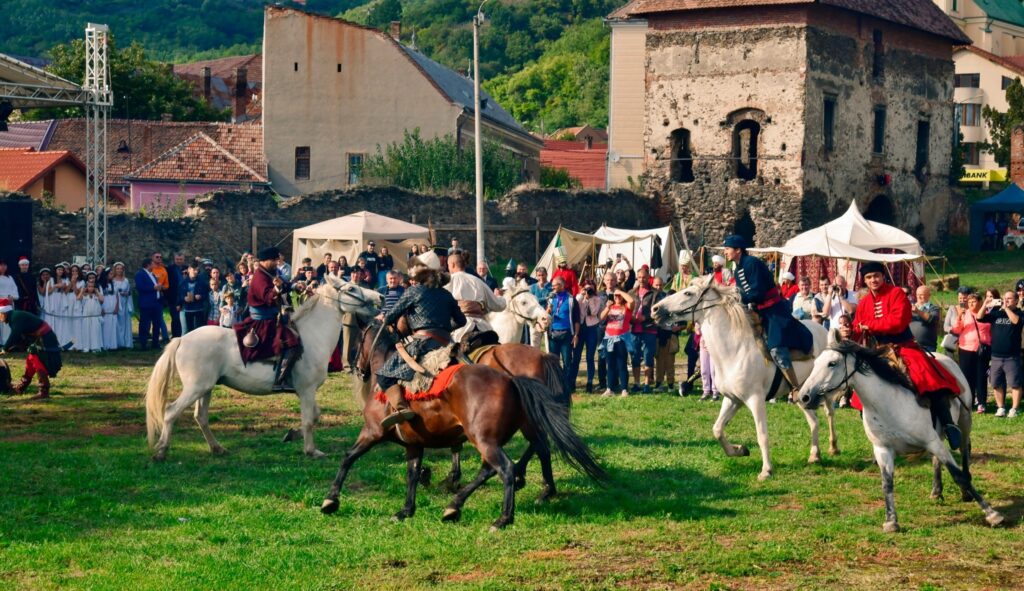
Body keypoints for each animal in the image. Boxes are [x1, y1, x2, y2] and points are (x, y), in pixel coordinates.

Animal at [144, 276, 380, 460]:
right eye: (351, 289)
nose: (380, 297)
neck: (312, 335)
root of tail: (182, 339)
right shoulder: (306, 390)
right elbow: (309, 420)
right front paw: (311, 450)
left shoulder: (306, 392)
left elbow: (315, 416)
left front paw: (292, 434)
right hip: (195, 388)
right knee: (170, 412)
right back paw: (161, 451)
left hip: (206, 389)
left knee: (200, 417)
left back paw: (217, 448)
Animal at [321, 323, 606, 528]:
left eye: (358, 342)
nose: (356, 368)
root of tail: (512, 380)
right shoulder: (414, 444)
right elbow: (412, 473)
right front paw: (406, 510)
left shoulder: (372, 432)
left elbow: (348, 458)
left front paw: (331, 500)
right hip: (496, 437)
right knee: (504, 463)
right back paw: (458, 505)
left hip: (485, 439)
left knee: (507, 466)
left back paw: (504, 516)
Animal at [655, 276, 839, 479]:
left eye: (688, 293)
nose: (655, 309)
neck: (735, 350)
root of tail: (824, 331)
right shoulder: (732, 400)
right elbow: (717, 430)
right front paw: (740, 450)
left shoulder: (755, 399)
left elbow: (762, 435)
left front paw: (766, 470)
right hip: (801, 394)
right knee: (814, 421)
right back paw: (815, 455)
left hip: (826, 390)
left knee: (829, 413)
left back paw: (833, 447)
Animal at [802, 338, 1003, 532]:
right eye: (816, 363)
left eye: (832, 363)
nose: (804, 397)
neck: (888, 403)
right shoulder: (883, 449)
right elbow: (887, 484)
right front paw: (891, 522)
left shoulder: (931, 441)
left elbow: (958, 474)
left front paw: (992, 514)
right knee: (937, 460)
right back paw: (936, 490)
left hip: (964, 420)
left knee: (964, 451)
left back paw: (965, 491)